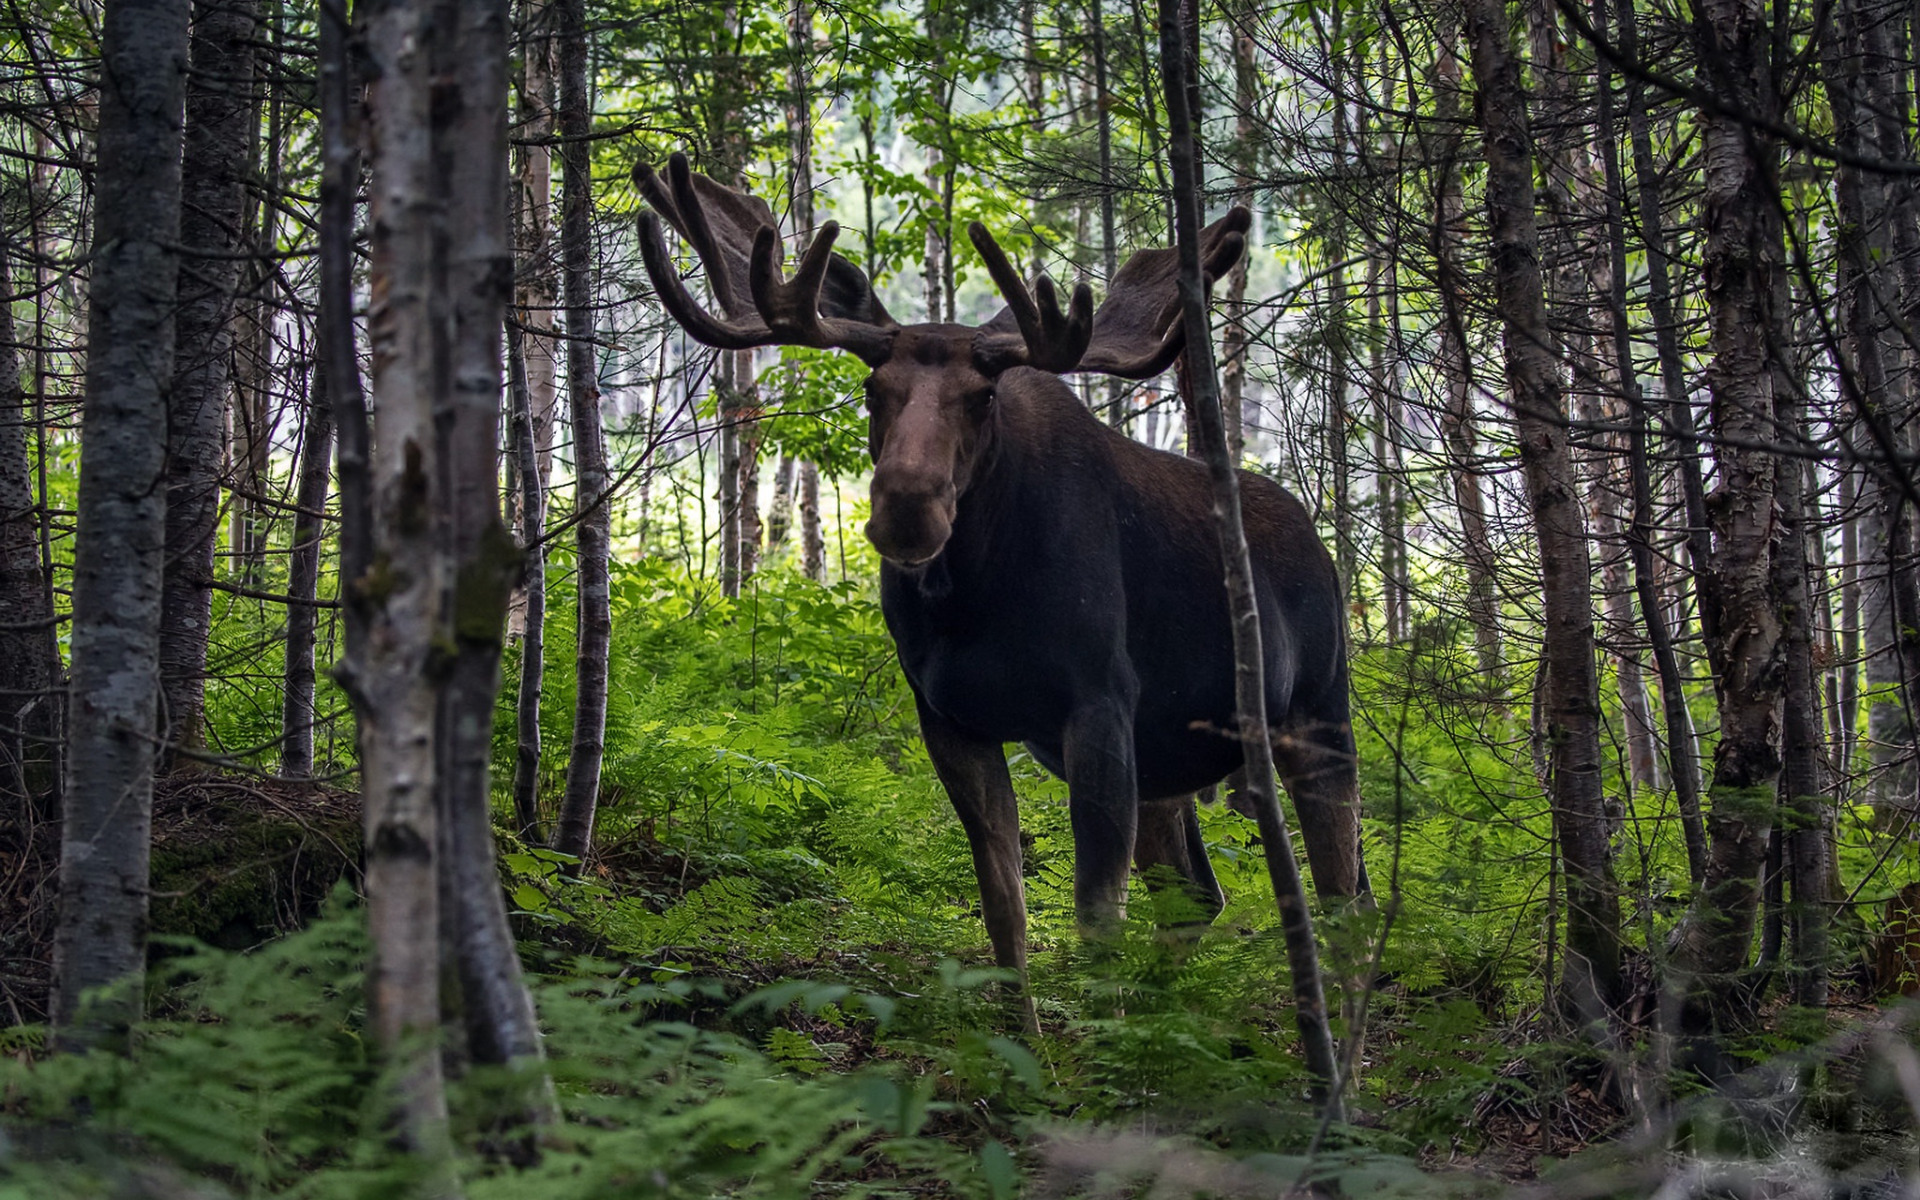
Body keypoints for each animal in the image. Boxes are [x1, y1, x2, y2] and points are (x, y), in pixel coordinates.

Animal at [637, 147, 1374, 1013]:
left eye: (983, 396)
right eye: (872, 389)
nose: (907, 506)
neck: (975, 597)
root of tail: (1319, 546)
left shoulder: (1100, 705)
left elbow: (1095, 920)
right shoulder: (951, 720)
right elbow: (1005, 915)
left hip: (1317, 715)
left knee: (1345, 900)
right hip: (1172, 758)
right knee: (1200, 894)